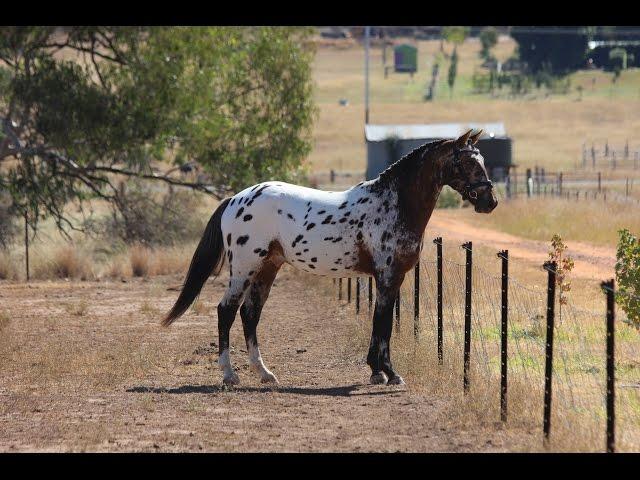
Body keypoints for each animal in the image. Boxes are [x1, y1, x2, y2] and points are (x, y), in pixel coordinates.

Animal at [162, 130, 498, 386]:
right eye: (467, 162)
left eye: (482, 160)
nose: (490, 202)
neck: (394, 204)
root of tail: (235, 199)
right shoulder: (388, 276)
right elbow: (383, 325)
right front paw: (390, 374)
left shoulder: (390, 279)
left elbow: (380, 323)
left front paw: (376, 372)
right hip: (245, 268)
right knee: (227, 311)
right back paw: (230, 375)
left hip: (267, 268)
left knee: (250, 314)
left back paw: (265, 373)